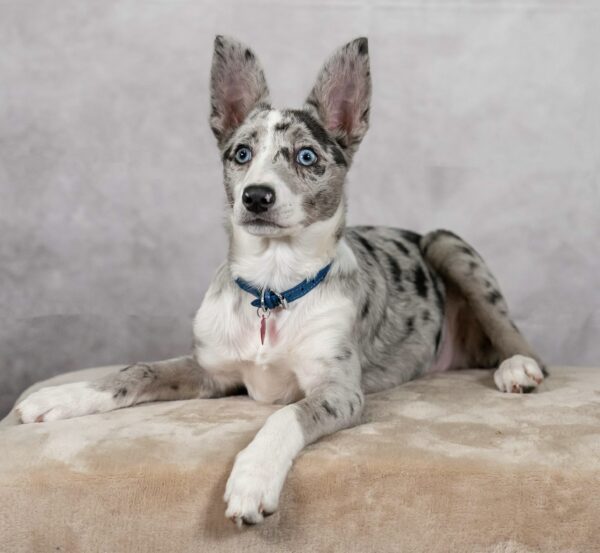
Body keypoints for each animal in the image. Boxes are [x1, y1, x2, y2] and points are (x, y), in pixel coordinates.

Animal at [15, 34, 548, 528]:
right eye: (241, 154)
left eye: (307, 157)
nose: (255, 196)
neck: (274, 287)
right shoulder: (211, 370)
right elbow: (137, 370)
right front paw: (60, 397)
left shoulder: (339, 391)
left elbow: (283, 414)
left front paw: (253, 477)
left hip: (446, 243)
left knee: (515, 337)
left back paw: (517, 369)